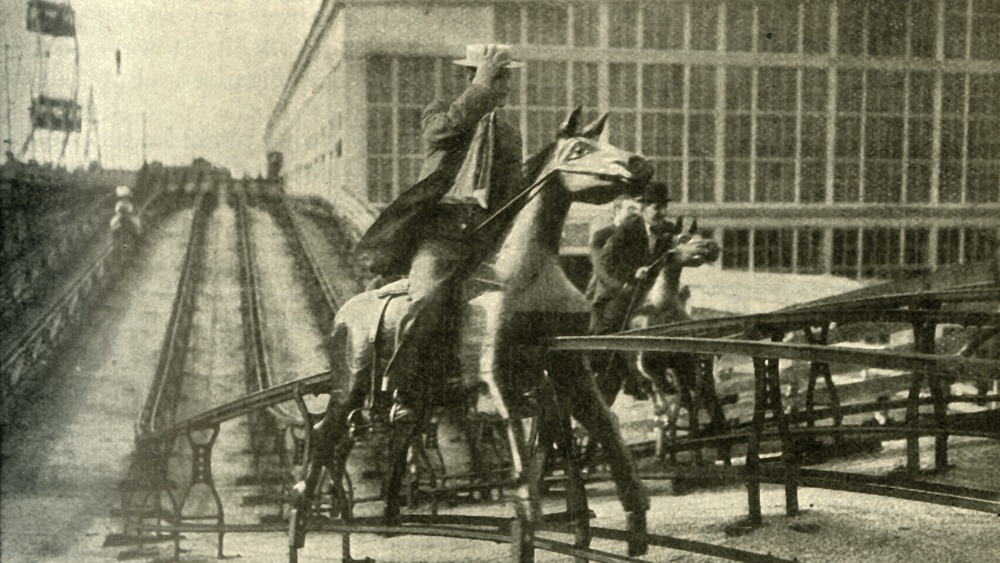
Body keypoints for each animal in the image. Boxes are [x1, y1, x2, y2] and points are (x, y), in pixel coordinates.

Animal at [292, 108, 656, 560]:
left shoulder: (568, 367)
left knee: (389, 439)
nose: (640, 165)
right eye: (579, 149)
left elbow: (606, 427)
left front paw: (636, 521)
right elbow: (509, 424)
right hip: (349, 387)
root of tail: (344, 314)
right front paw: (527, 507)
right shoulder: (486, 374)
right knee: (324, 437)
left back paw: (387, 520)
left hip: (417, 400)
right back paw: (300, 520)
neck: (520, 269)